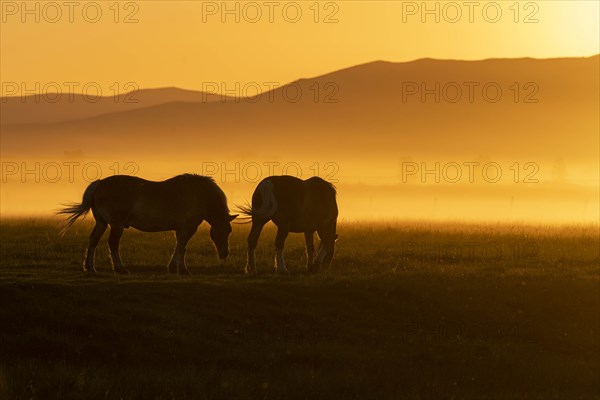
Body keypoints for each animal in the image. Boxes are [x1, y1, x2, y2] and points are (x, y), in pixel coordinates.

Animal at [57, 175, 237, 276]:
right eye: (226, 231)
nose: (225, 254)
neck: (200, 195)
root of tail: (99, 184)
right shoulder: (188, 227)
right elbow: (182, 246)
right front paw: (181, 269)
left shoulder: (180, 229)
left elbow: (179, 246)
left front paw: (174, 268)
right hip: (116, 225)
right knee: (113, 244)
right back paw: (120, 268)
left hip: (102, 223)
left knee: (93, 241)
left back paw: (90, 267)